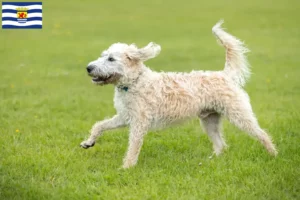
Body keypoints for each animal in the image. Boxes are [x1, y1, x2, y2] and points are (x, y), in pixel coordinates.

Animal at [79, 20, 276, 168]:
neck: (133, 83)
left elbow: (133, 147)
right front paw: (89, 142)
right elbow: (100, 125)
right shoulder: (124, 117)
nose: (88, 68)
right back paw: (212, 161)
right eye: (102, 55)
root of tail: (224, 74)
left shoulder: (139, 123)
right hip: (209, 120)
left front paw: (126, 167)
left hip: (239, 115)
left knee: (262, 134)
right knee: (221, 145)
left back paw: (273, 154)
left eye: (111, 59)